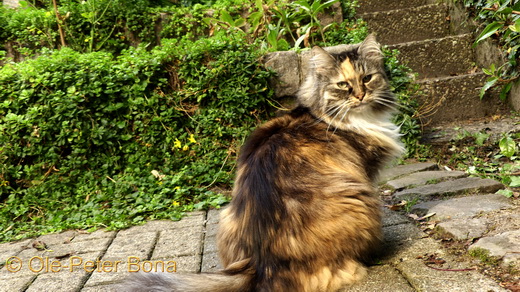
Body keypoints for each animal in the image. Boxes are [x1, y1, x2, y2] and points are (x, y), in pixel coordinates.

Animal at [124, 34, 404, 292]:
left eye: (367, 78)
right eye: (343, 85)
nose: (361, 95)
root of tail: (259, 265)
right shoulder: (366, 171)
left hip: (225, 215)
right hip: (361, 200)